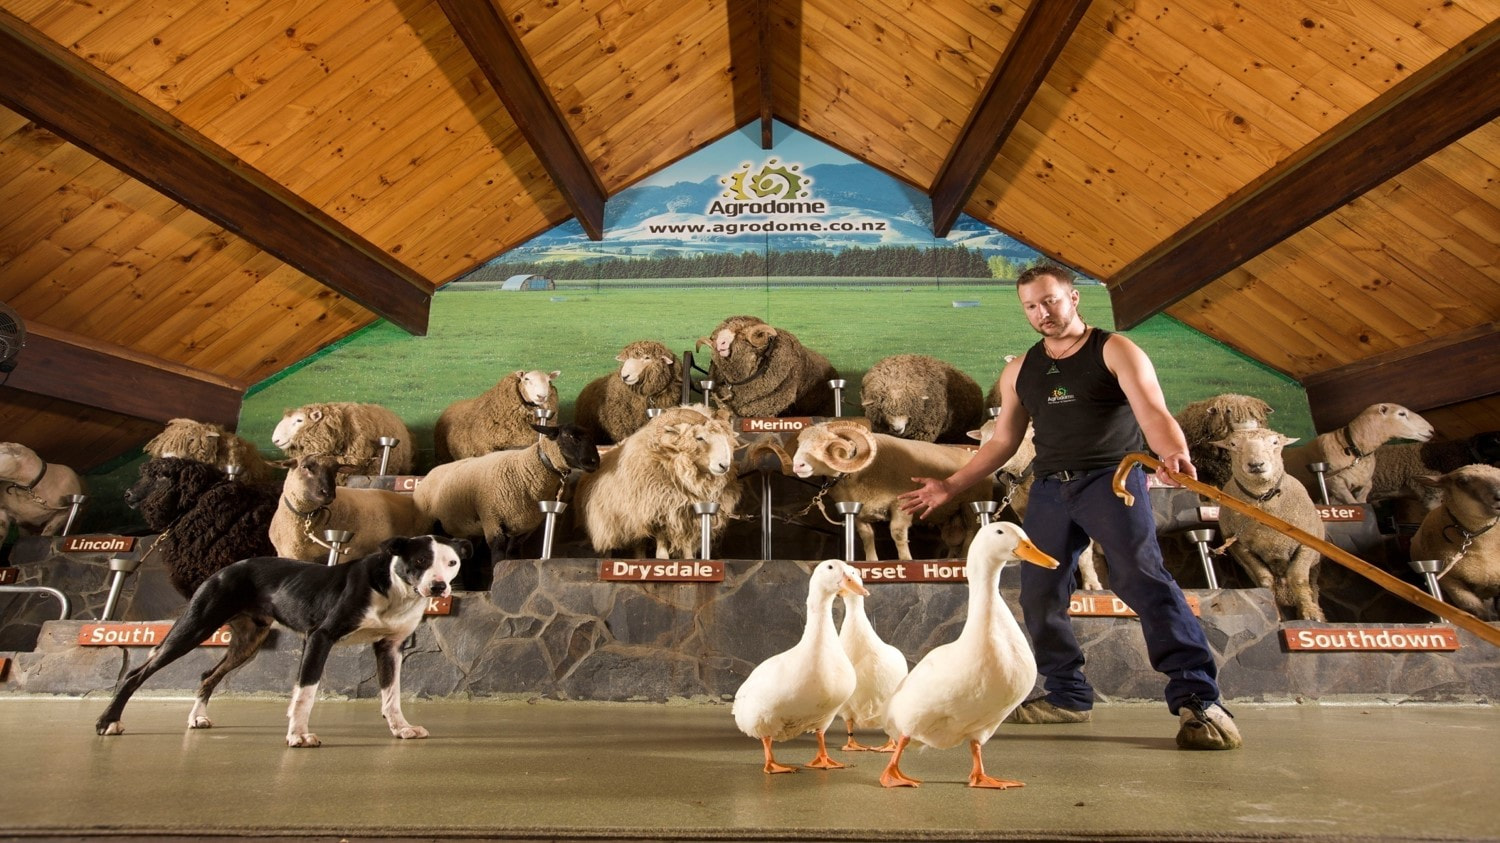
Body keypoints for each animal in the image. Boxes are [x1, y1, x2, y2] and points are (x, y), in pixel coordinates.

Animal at [414, 423, 601, 560]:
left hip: (467, 530)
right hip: (428, 523)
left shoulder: (524, 528)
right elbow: (498, 556)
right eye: (571, 437)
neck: (525, 471)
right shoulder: (492, 522)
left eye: (592, 438)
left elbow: (512, 555)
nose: (594, 462)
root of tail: (428, 474)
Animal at [574, 405, 743, 559]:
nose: (724, 466)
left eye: (727, 440)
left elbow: (687, 542)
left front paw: (689, 559)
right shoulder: (657, 508)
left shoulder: (686, 514)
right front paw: (662, 557)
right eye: (699, 437)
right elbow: (661, 537)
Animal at [790, 420, 991, 561]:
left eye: (828, 443)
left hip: (971, 504)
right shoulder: (859, 511)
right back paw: (952, 558)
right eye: (799, 443)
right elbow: (867, 537)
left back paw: (965, 556)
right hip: (950, 514)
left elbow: (898, 533)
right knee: (953, 539)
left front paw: (905, 560)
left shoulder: (901, 503)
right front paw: (872, 561)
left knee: (971, 533)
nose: (797, 465)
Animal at [1212, 428, 1326, 621]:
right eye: (1233, 444)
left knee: (1312, 586)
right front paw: (1277, 615)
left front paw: (1310, 614)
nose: (1256, 464)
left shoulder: (1306, 545)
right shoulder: (1240, 547)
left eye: (1275, 442)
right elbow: (1264, 580)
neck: (1263, 499)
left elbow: (1298, 578)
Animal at [1282, 403, 1435, 504]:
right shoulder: (1334, 483)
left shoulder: (1365, 480)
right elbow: (1353, 503)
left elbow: (1364, 495)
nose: (1432, 430)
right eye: (1401, 414)